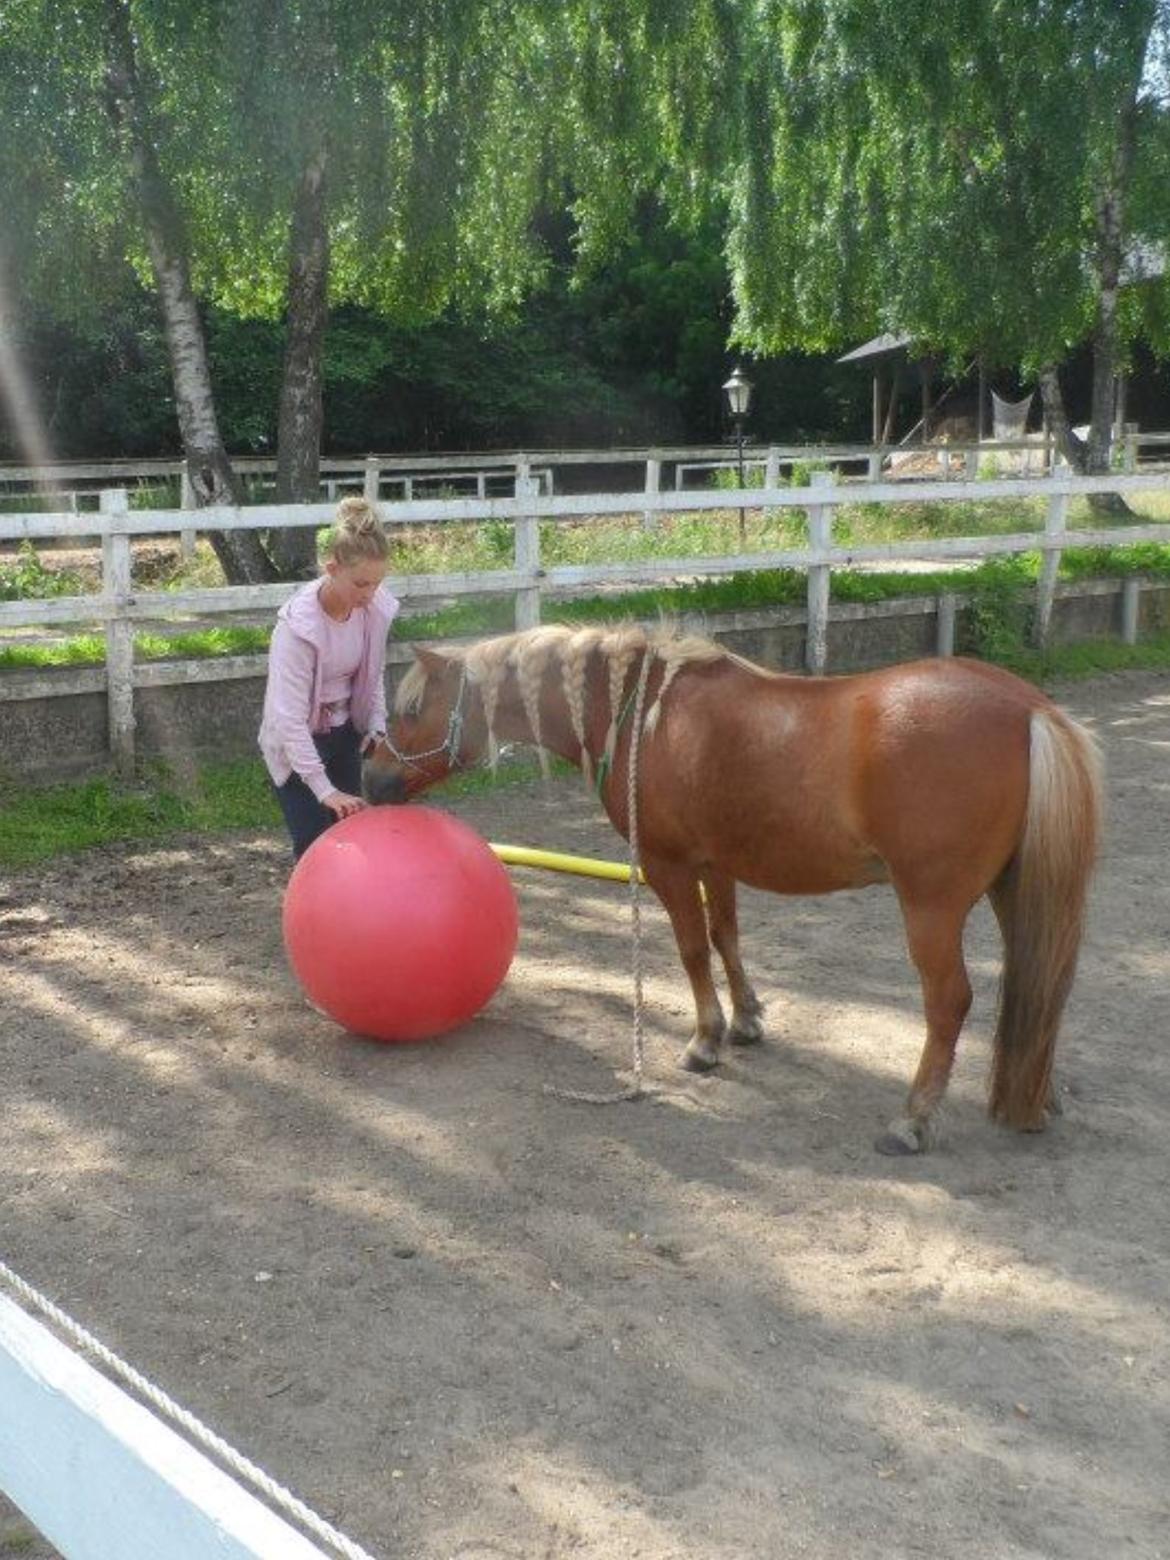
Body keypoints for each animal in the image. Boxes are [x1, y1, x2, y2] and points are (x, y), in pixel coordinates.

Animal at [361, 624, 1104, 1160]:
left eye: (411, 708)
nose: (370, 777)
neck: (640, 711)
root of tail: (1033, 711)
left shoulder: (668, 863)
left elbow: (692, 949)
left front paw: (705, 1040)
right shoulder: (715, 862)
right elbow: (726, 937)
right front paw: (746, 1021)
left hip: (932, 906)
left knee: (950, 1002)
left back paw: (913, 1120)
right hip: (1013, 893)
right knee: (1043, 982)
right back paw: (1038, 1094)